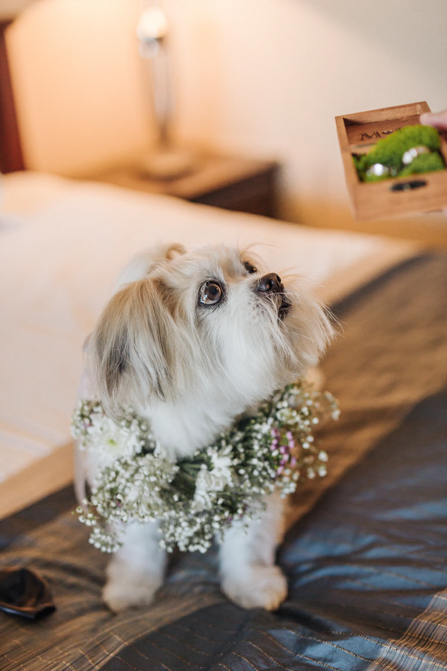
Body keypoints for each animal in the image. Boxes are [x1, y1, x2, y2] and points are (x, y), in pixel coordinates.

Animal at [75, 243, 333, 612]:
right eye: (210, 292)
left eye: (249, 267)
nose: (272, 279)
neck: (195, 422)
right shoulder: (134, 491)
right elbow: (139, 549)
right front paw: (131, 586)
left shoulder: (252, 490)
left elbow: (247, 546)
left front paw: (252, 585)